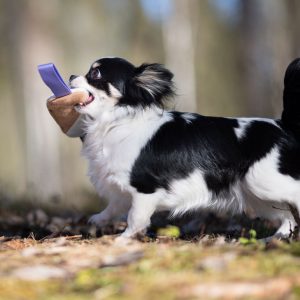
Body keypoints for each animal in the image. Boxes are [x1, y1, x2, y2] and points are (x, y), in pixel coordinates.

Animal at [69, 56, 300, 239]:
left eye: (95, 73)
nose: (71, 76)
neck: (117, 120)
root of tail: (283, 126)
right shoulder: (122, 187)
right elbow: (114, 206)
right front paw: (98, 219)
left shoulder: (145, 190)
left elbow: (136, 218)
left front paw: (122, 240)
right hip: (258, 195)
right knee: (287, 218)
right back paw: (275, 239)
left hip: (263, 182)